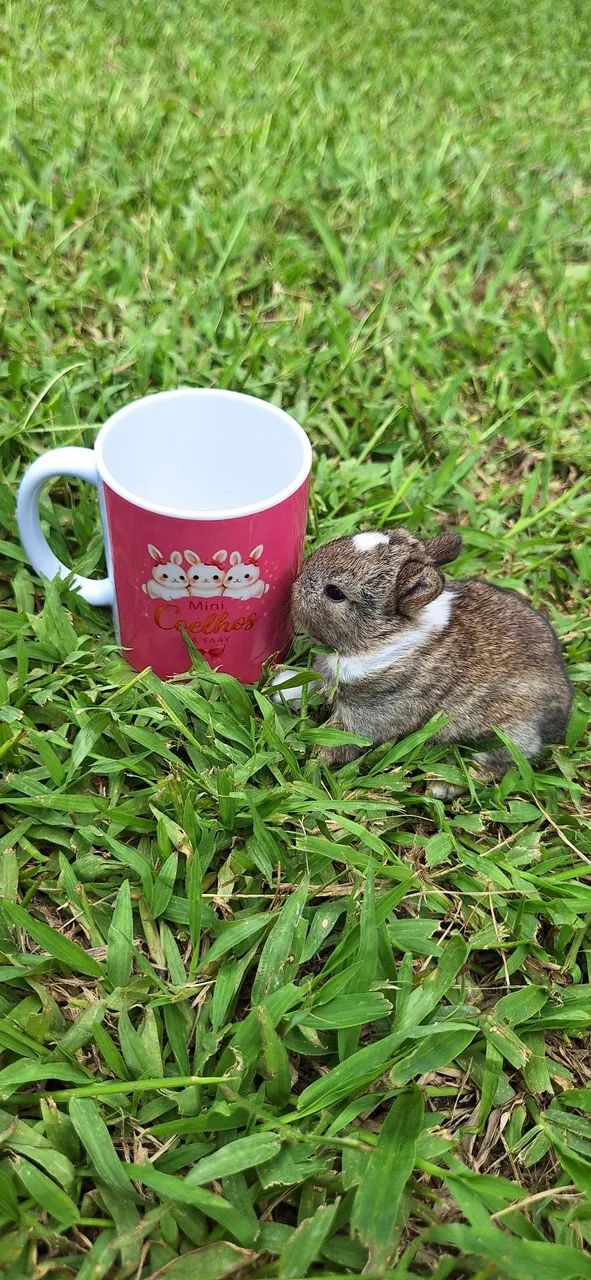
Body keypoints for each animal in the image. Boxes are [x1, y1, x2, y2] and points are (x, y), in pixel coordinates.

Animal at [291, 527, 573, 788]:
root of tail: (563, 711)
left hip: (509, 732)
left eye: (335, 592)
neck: (383, 636)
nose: (295, 585)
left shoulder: (374, 712)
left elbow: (344, 738)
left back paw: (445, 785)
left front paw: (313, 760)